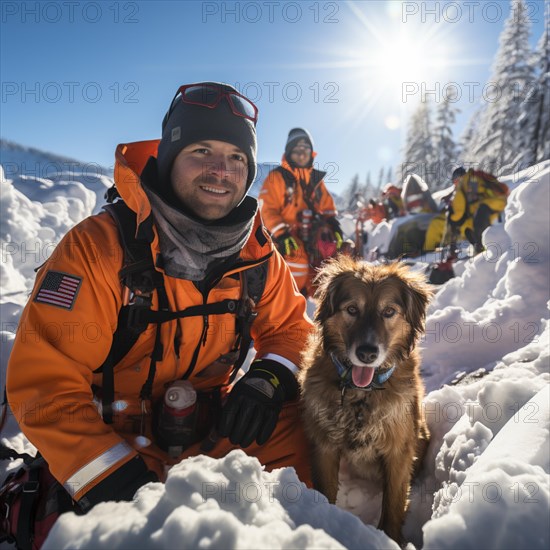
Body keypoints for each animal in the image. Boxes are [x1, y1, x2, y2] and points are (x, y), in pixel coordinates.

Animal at [300, 258, 434, 544]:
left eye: (388, 311)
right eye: (352, 309)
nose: (367, 353)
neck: (361, 395)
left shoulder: (398, 450)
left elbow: (393, 502)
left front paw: (391, 538)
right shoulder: (324, 447)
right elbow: (326, 493)